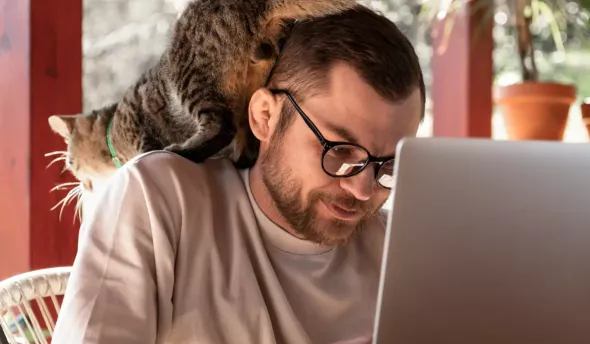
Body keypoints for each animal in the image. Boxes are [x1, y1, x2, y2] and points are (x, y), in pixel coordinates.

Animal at [47, 0, 360, 194]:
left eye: (70, 164)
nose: (79, 185)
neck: (114, 127)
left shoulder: (142, 133)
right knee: (247, 141)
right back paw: (237, 159)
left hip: (192, 79)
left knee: (221, 127)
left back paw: (185, 150)